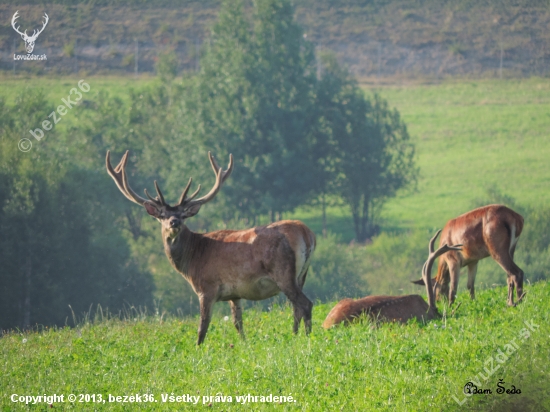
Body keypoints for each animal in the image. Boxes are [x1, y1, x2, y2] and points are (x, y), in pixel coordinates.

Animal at [106, 150, 320, 344]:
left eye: (183, 214)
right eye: (162, 215)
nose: (174, 222)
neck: (192, 259)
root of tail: (306, 233)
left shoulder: (206, 287)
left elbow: (203, 326)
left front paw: (198, 349)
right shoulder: (235, 294)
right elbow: (237, 322)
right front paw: (243, 344)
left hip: (283, 272)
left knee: (305, 304)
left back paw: (306, 337)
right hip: (301, 275)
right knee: (297, 308)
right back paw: (296, 336)